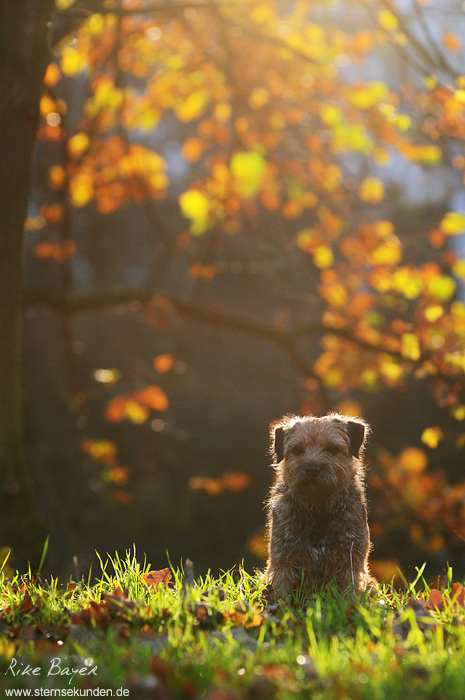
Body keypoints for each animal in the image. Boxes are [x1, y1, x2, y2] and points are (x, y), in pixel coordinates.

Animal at [264, 412, 374, 600]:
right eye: (297, 450)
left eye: (332, 449)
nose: (312, 469)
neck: (318, 508)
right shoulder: (283, 559)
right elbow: (281, 591)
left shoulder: (351, 560)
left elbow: (350, 592)